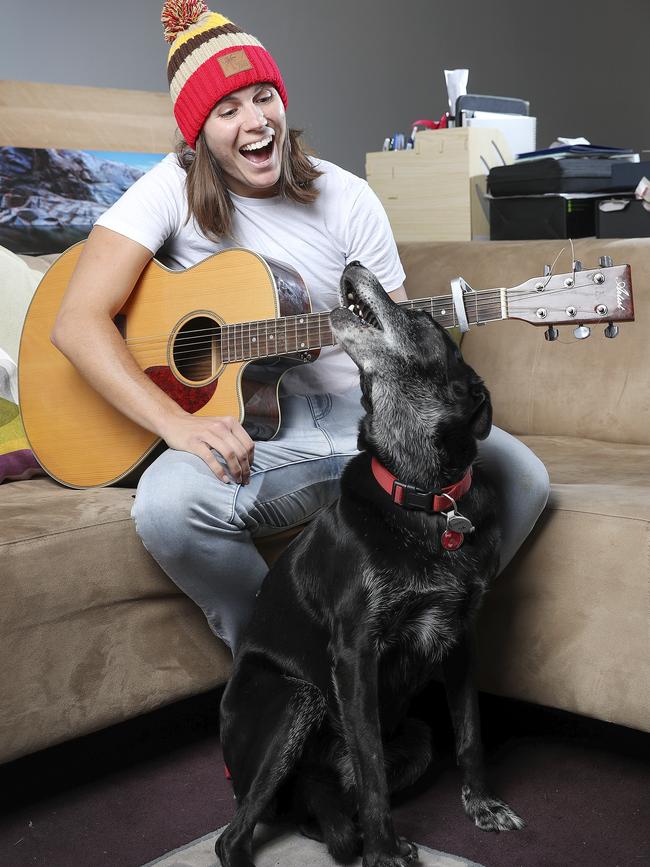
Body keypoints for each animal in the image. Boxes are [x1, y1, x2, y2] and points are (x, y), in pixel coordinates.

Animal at [215, 262, 524, 864]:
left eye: (421, 317)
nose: (354, 266)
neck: (424, 495)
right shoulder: (355, 652)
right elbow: (371, 768)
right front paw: (383, 853)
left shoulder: (460, 637)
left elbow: (469, 733)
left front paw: (482, 805)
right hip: (298, 697)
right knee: (232, 836)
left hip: (416, 740)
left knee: (322, 814)